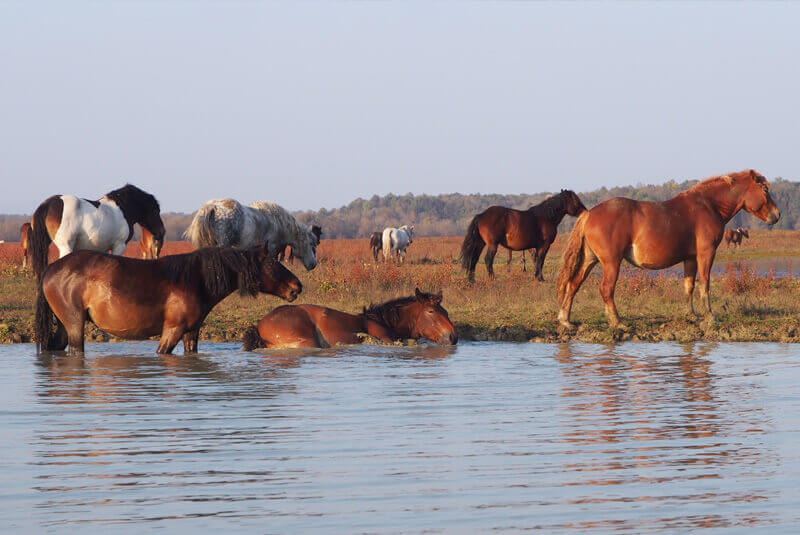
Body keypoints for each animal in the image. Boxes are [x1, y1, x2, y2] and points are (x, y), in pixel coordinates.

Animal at [30, 184, 165, 280]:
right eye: (156, 210)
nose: (162, 232)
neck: (122, 210)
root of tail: (48, 204)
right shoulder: (119, 245)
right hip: (66, 247)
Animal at [35, 244, 302, 355]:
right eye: (272, 262)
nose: (296, 287)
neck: (196, 279)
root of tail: (51, 269)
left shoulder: (191, 331)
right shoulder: (173, 330)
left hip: (64, 325)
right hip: (74, 324)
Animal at [242, 288, 457, 349]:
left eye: (445, 310)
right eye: (431, 312)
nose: (453, 337)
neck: (383, 321)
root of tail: (259, 327)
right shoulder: (386, 339)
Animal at [557, 170, 780, 330]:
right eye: (765, 190)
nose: (777, 215)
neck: (709, 205)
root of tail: (588, 213)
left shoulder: (690, 258)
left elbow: (689, 286)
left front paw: (691, 315)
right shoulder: (706, 254)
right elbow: (705, 284)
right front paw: (709, 317)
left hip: (590, 260)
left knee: (573, 284)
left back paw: (565, 319)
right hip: (611, 263)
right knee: (606, 289)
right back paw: (618, 322)